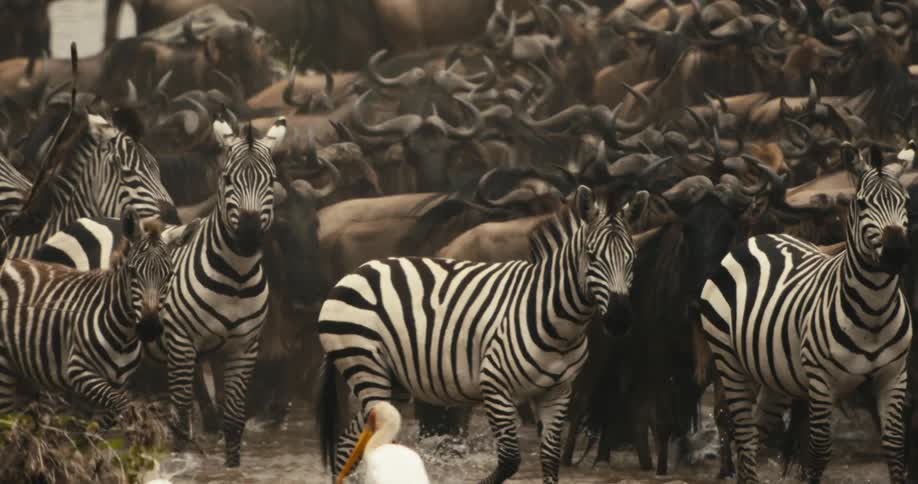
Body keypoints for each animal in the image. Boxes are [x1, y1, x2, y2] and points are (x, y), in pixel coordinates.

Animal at [0, 206, 196, 424]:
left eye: (169, 275)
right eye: (132, 272)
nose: (149, 328)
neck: (124, 337)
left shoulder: (117, 383)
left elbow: (103, 420)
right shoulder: (78, 371)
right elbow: (120, 405)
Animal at [317, 186, 639, 484]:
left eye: (633, 258)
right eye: (592, 256)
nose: (619, 320)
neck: (557, 321)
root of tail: (358, 271)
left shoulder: (557, 392)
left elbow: (550, 461)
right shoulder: (495, 385)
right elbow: (509, 460)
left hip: (390, 379)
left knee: (348, 444)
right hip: (365, 364)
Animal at [699, 142, 914, 483]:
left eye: (905, 201)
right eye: (862, 203)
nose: (896, 252)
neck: (874, 310)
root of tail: (759, 238)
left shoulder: (894, 375)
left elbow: (894, 447)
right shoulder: (821, 380)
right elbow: (819, 452)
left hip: (775, 374)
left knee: (754, 436)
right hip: (728, 359)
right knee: (743, 434)